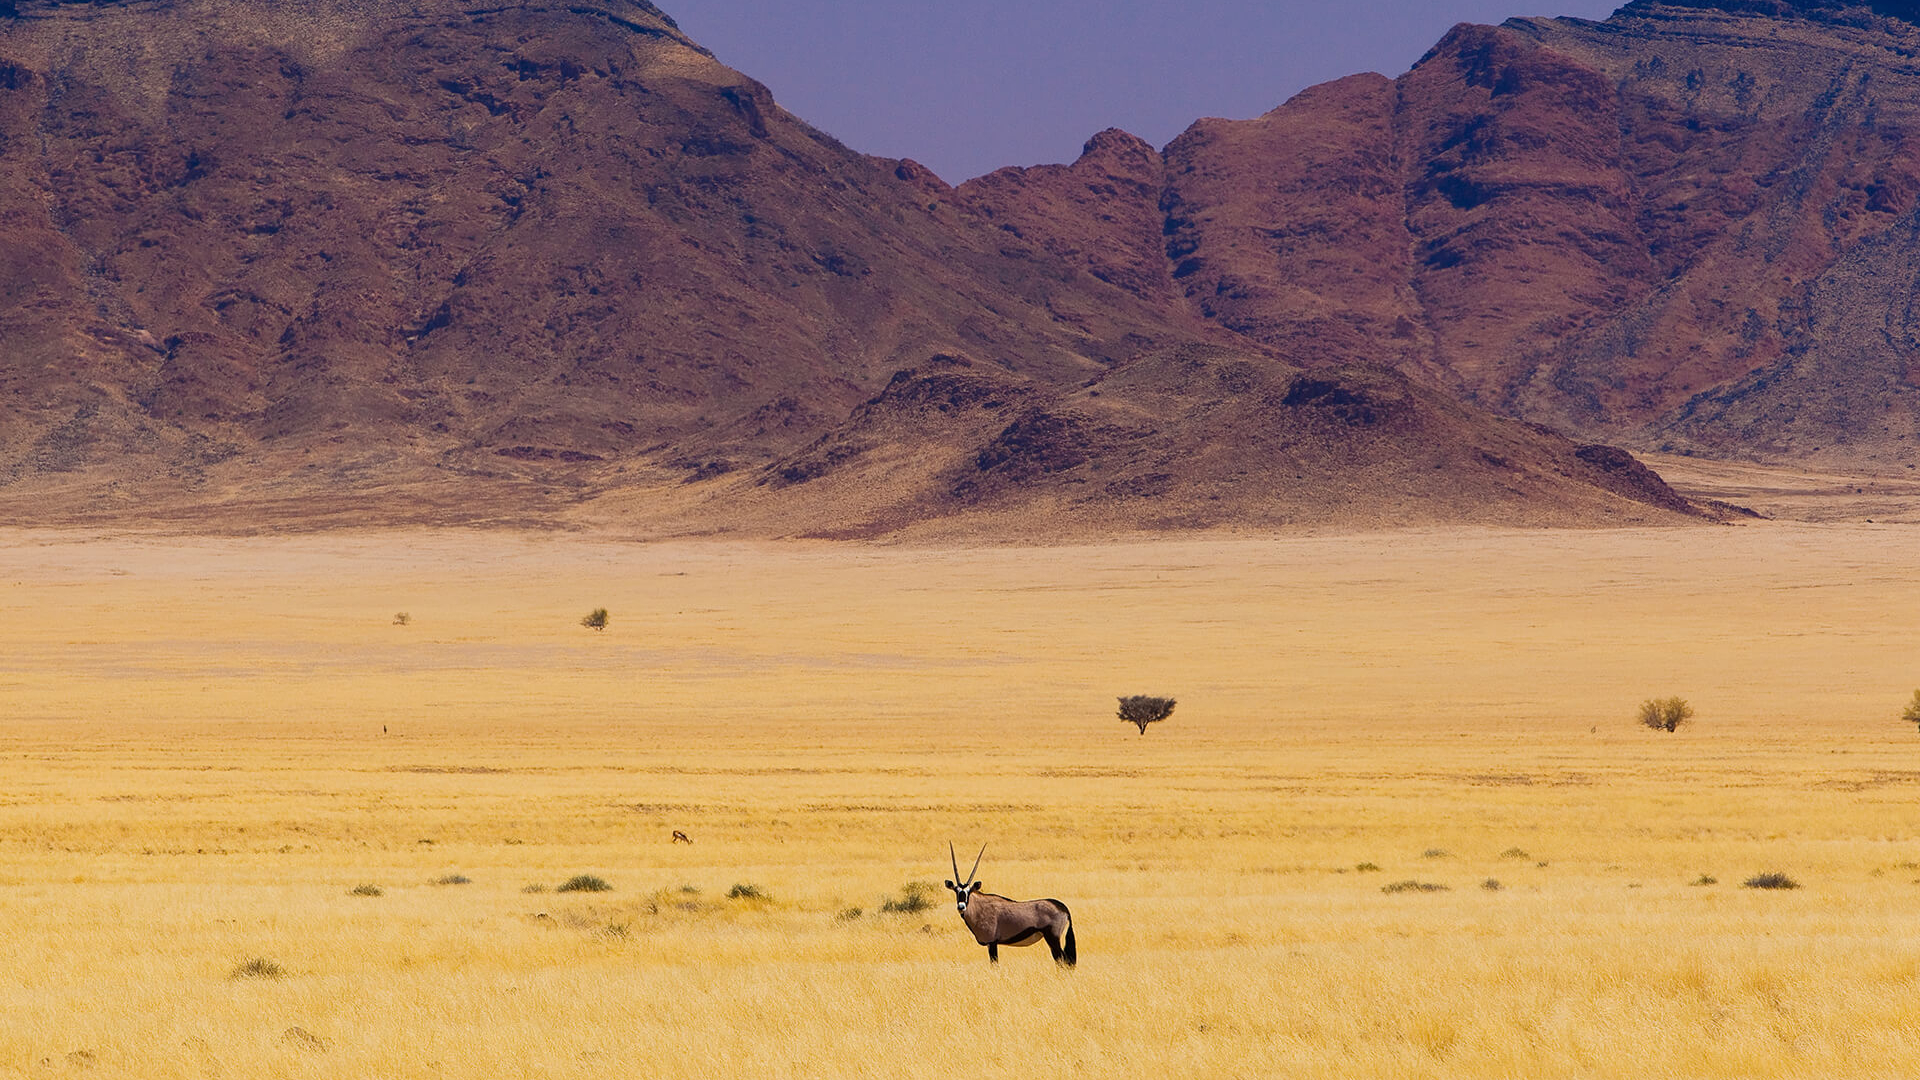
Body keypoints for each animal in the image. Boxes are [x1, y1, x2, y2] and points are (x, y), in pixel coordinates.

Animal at [943, 842, 1076, 966]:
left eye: (969, 892)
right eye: (956, 891)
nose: (961, 907)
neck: (980, 908)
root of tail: (1063, 907)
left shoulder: (992, 943)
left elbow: (994, 964)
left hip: (1053, 938)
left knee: (1063, 960)